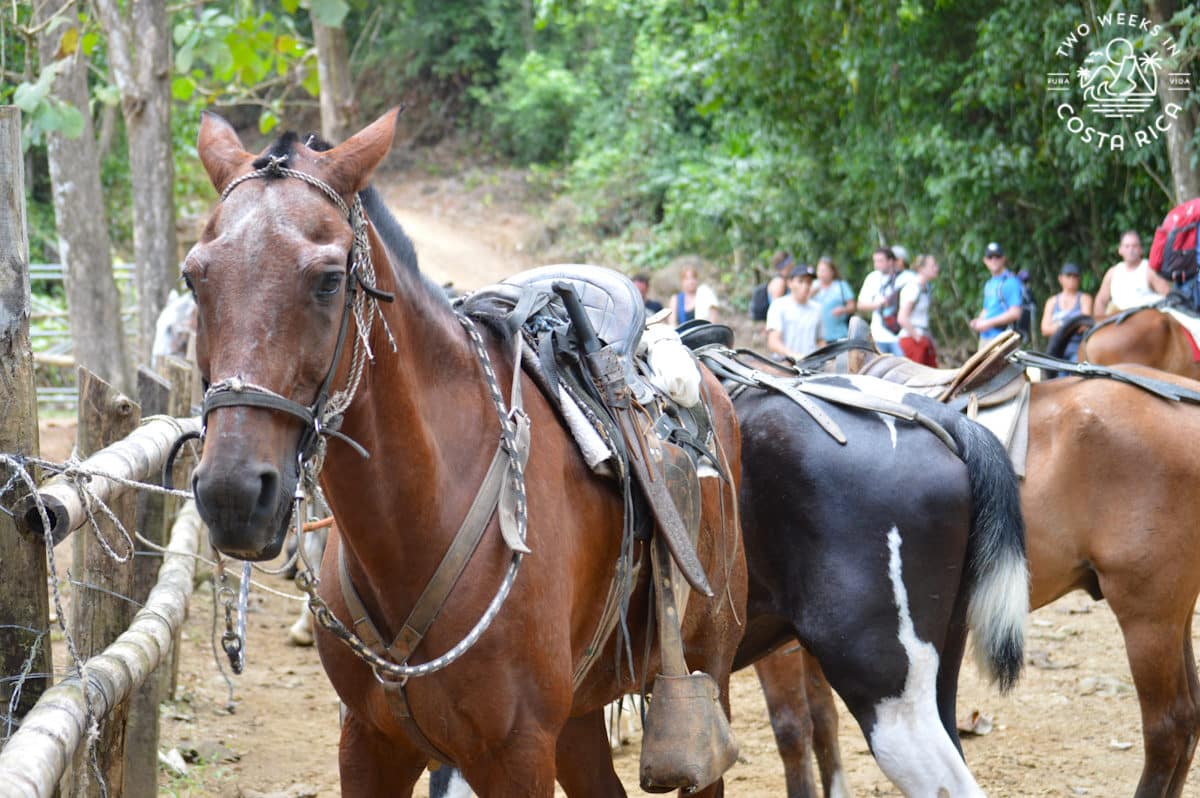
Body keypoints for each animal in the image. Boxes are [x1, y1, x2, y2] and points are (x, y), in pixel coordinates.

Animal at [187, 109, 748, 796]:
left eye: (327, 281)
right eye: (193, 278)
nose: (233, 493)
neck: (421, 520)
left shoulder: (516, 755)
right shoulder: (368, 743)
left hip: (706, 670)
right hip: (577, 721)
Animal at [757, 361, 1200, 798]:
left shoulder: (781, 647)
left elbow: (791, 726)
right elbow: (822, 718)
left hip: (1147, 618)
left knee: (1169, 727)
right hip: (1173, 615)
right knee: (1189, 720)